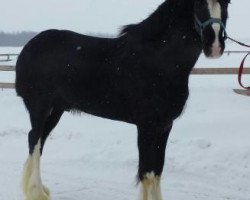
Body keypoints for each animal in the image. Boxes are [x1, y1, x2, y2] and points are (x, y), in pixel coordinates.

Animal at [15, 0, 230, 200]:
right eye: (198, 4)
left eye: (226, 4)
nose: (215, 45)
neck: (159, 59)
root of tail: (29, 47)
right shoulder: (146, 125)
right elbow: (147, 173)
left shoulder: (164, 126)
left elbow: (157, 172)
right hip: (39, 107)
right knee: (35, 140)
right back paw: (36, 192)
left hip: (56, 110)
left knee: (39, 141)